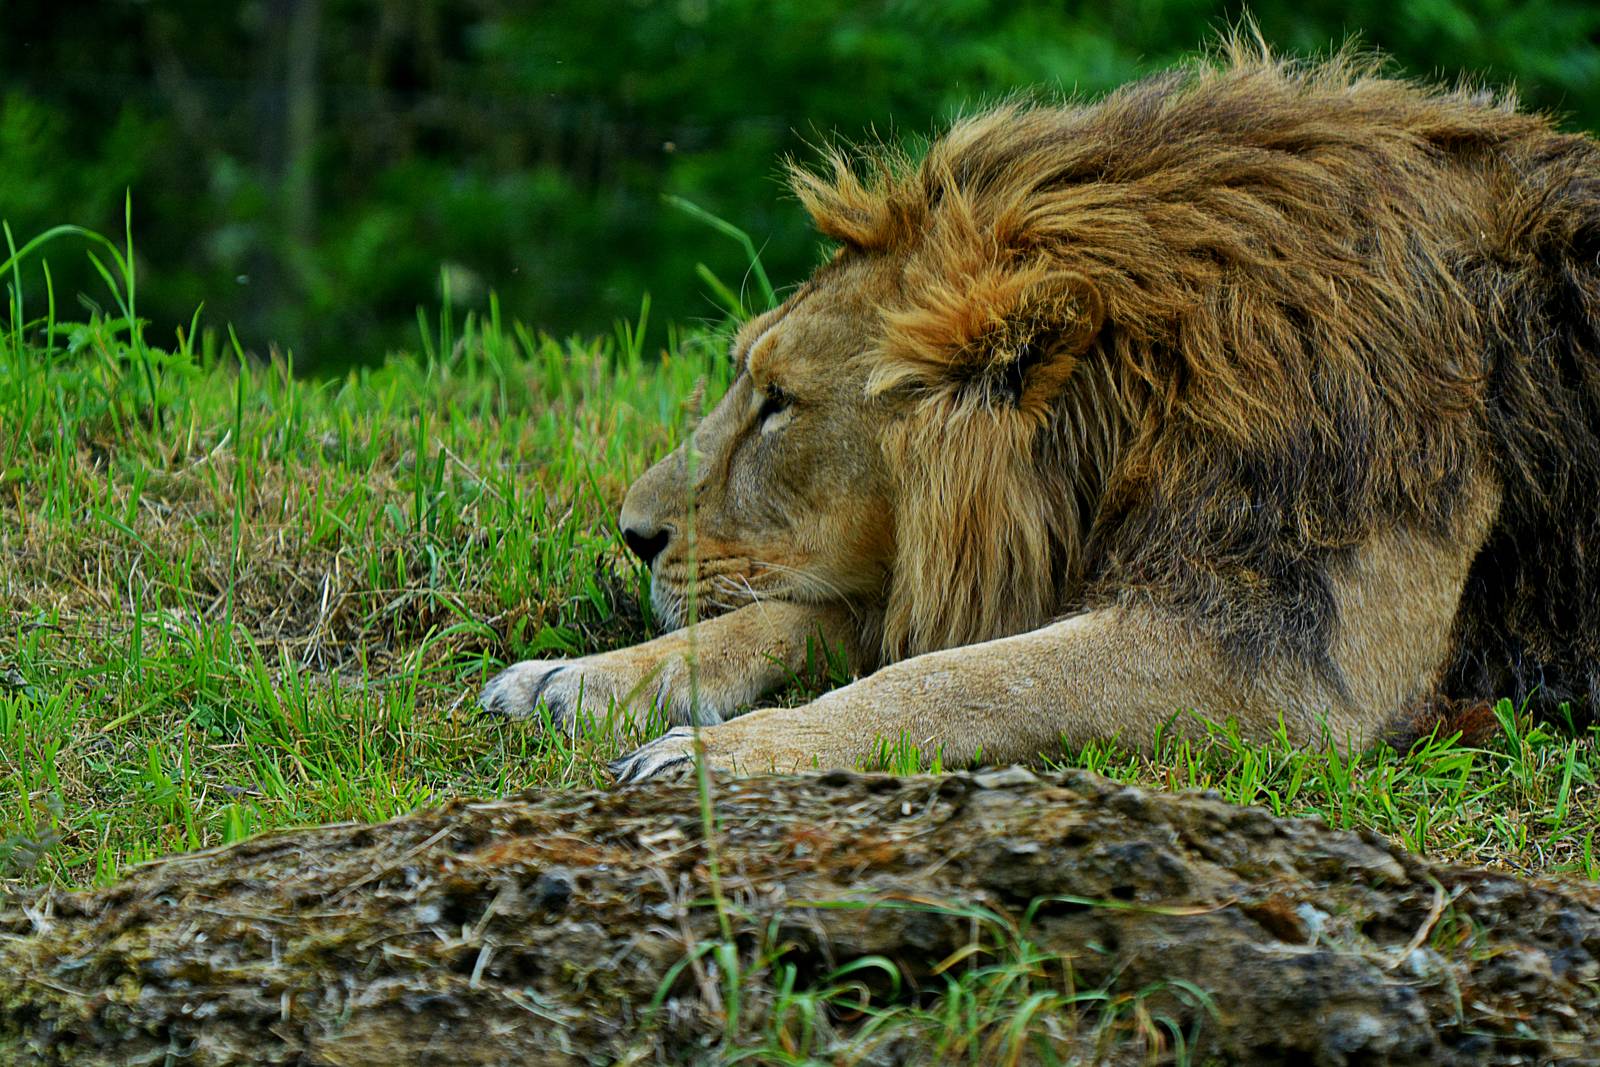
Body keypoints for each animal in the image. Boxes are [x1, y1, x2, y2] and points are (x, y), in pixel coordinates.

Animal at [480, 42, 1600, 783]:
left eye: (779, 406)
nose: (632, 534)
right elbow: (810, 620)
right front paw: (577, 680)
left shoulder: (1294, 663)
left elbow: (950, 680)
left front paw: (722, 754)